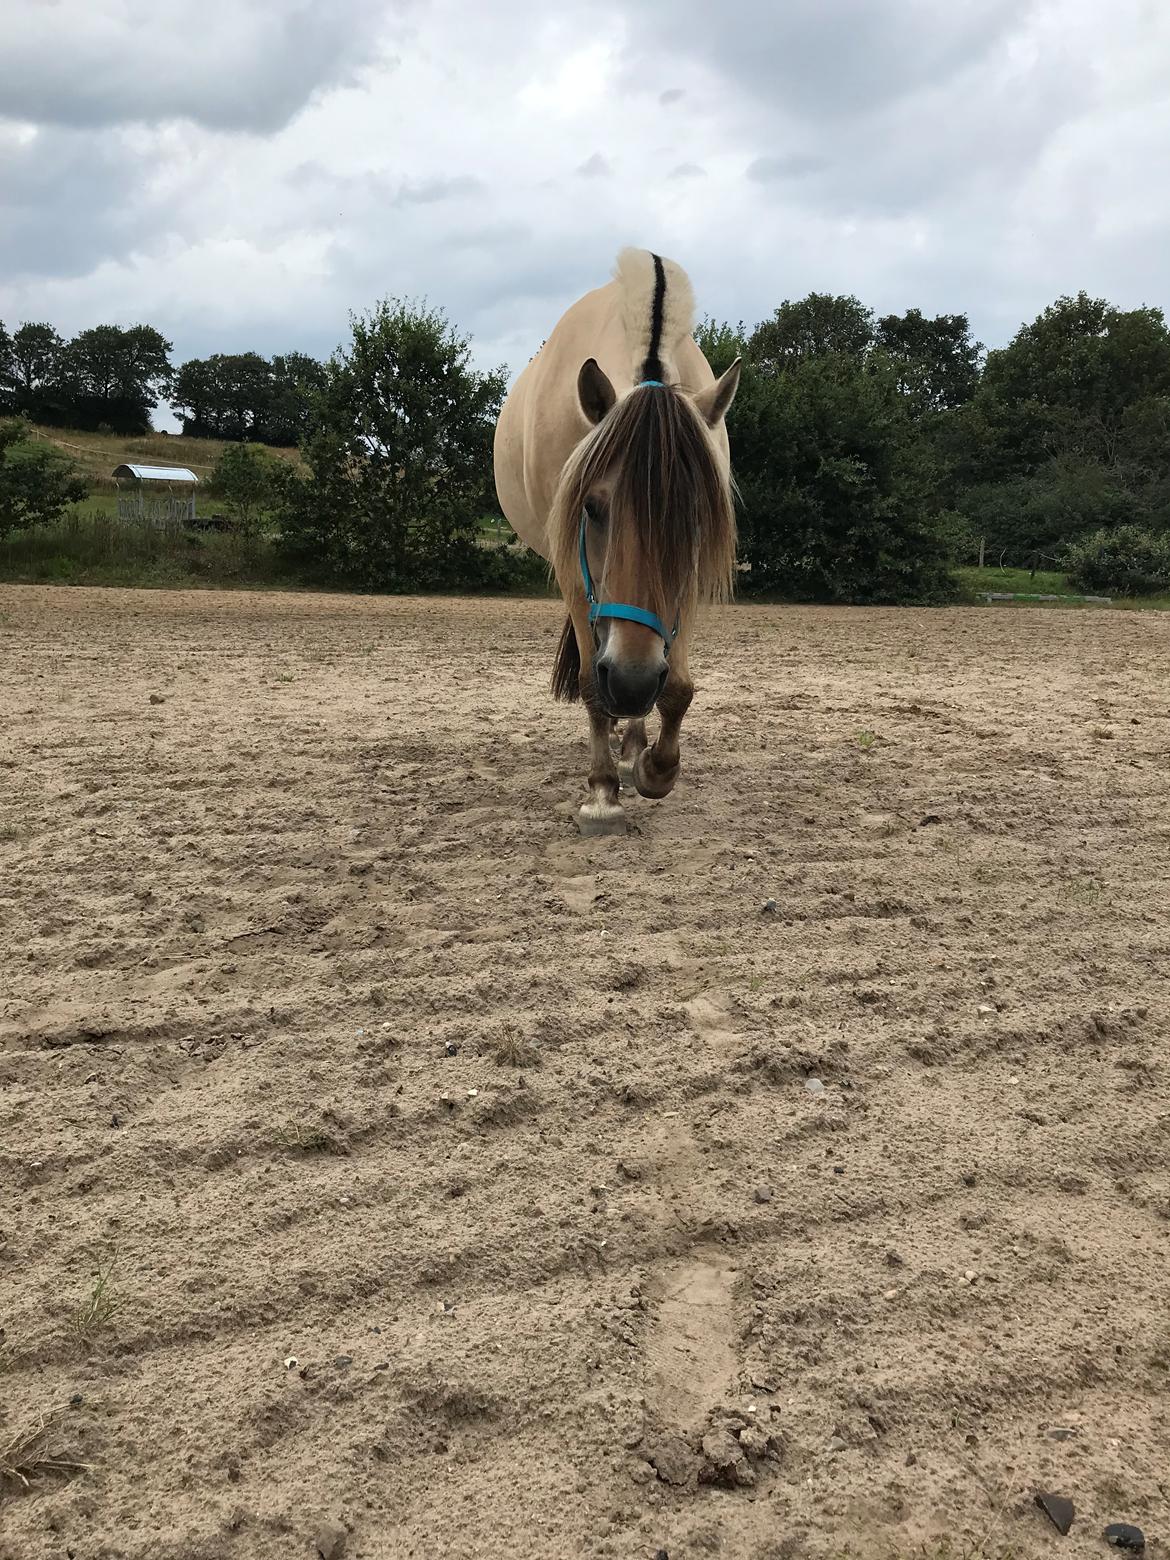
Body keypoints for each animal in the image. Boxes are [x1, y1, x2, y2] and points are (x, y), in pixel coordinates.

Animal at [496, 249, 742, 836]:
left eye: (693, 522)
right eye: (591, 507)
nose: (630, 682)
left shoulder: (686, 581)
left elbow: (677, 688)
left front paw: (654, 767)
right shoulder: (572, 570)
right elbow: (590, 681)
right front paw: (602, 791)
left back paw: (631, 746)